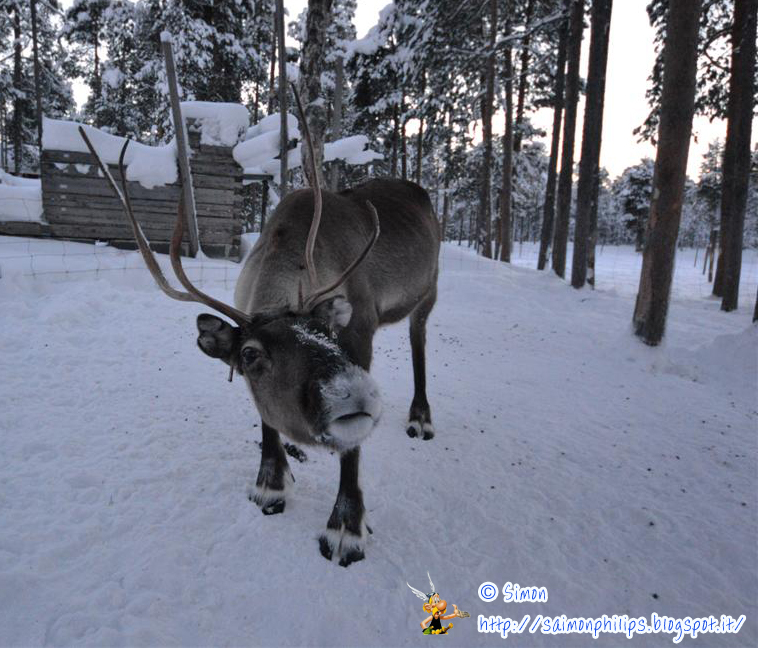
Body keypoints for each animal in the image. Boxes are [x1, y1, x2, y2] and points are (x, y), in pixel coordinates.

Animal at [77, 96, 440, 567]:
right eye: (250, 355)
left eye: (327, 329)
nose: (353, 393)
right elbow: (266, 418)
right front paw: (271, 484)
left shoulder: (360, 332)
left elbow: (352, 448)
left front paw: (346, 527)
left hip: (429, 291)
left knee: (419, 343)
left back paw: (420, 417)